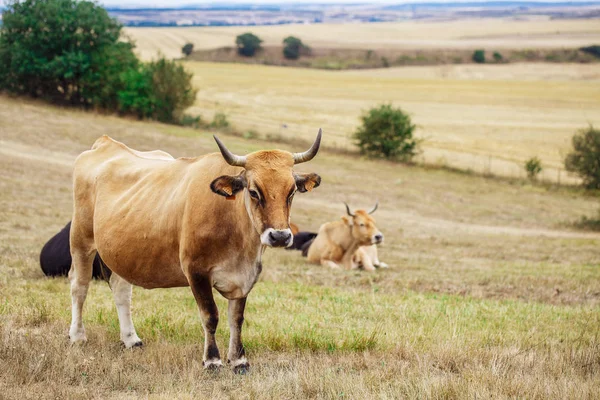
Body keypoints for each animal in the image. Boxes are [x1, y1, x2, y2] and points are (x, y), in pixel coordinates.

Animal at [68, 130, 324, 372]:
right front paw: (212, 360)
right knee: (79, 287)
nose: (280, 236)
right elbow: (210, 316)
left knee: (121, 290)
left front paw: (239, 359)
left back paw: (131, 339)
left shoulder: (245, 276)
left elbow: (236, 318)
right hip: (81, 240)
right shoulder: (196, 271)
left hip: (120, 253)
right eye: (253, 191)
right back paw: (77, 335)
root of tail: (106, 143)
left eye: (291, 191)